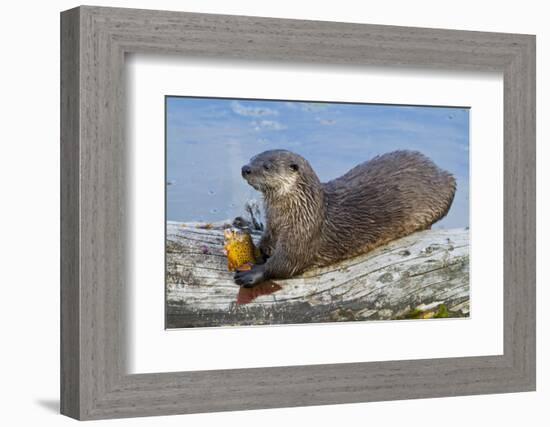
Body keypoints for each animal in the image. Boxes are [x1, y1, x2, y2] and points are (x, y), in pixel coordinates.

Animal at [235, 150, 460, 288]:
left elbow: (287, 262)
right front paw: (252, 251)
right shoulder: (272, 227)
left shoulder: (304, 234)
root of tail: (438, 169)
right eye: (253, 158)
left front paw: (252, 273)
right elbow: (265, 245)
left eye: (267, 166)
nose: (245, 168)